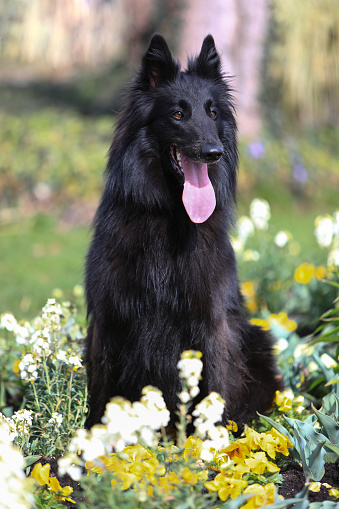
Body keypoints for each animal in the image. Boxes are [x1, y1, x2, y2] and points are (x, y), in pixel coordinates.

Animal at [84, 33, 282, 426]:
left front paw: (211, 437)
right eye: (177, 114)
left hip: (256, 341)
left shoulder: (212, 322)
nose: (214, 152)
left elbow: (217, 383)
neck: (168, 217)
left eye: (213, 113)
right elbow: (100, 390)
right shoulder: (108, 319)